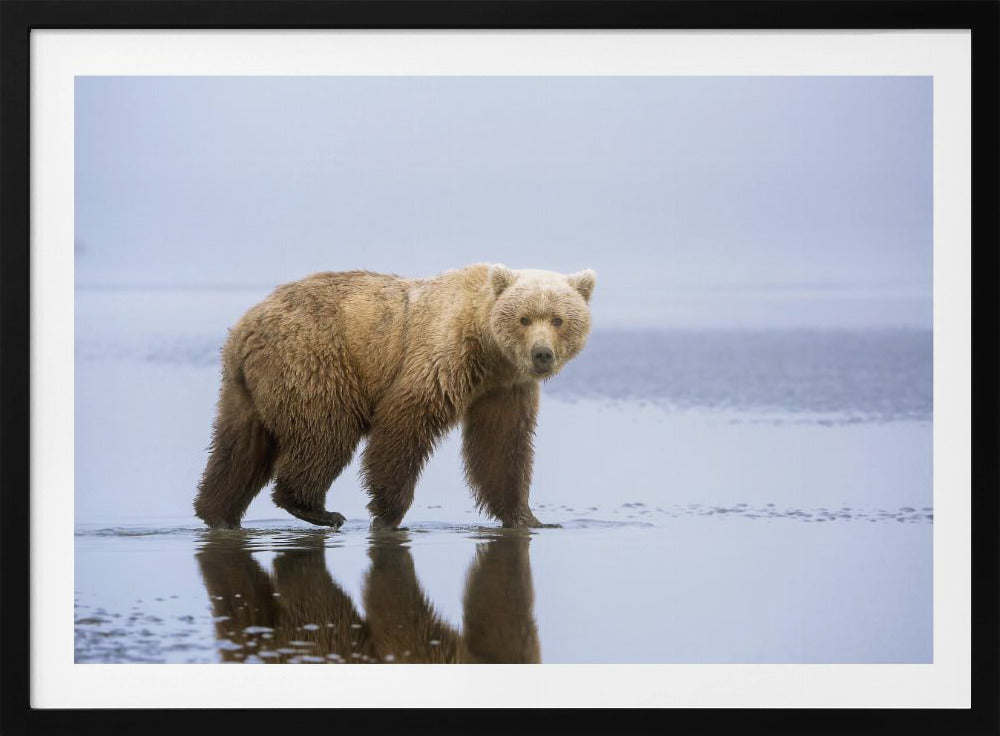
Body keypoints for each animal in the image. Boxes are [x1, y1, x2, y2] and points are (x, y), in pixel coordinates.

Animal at [192, 263, 596, 531]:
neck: (488, 350)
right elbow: (404, 424)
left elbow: (502, 448)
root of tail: (245, 326)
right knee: (326, 433)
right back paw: (317, 509)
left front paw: (529, 517)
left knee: (239, 447)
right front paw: (388, 513)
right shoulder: (442, 356)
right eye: (525, 318)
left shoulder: (504, 389)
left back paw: (217, 511)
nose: (542, 354)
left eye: (558, 319)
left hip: (246, 388)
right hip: (315, 359)